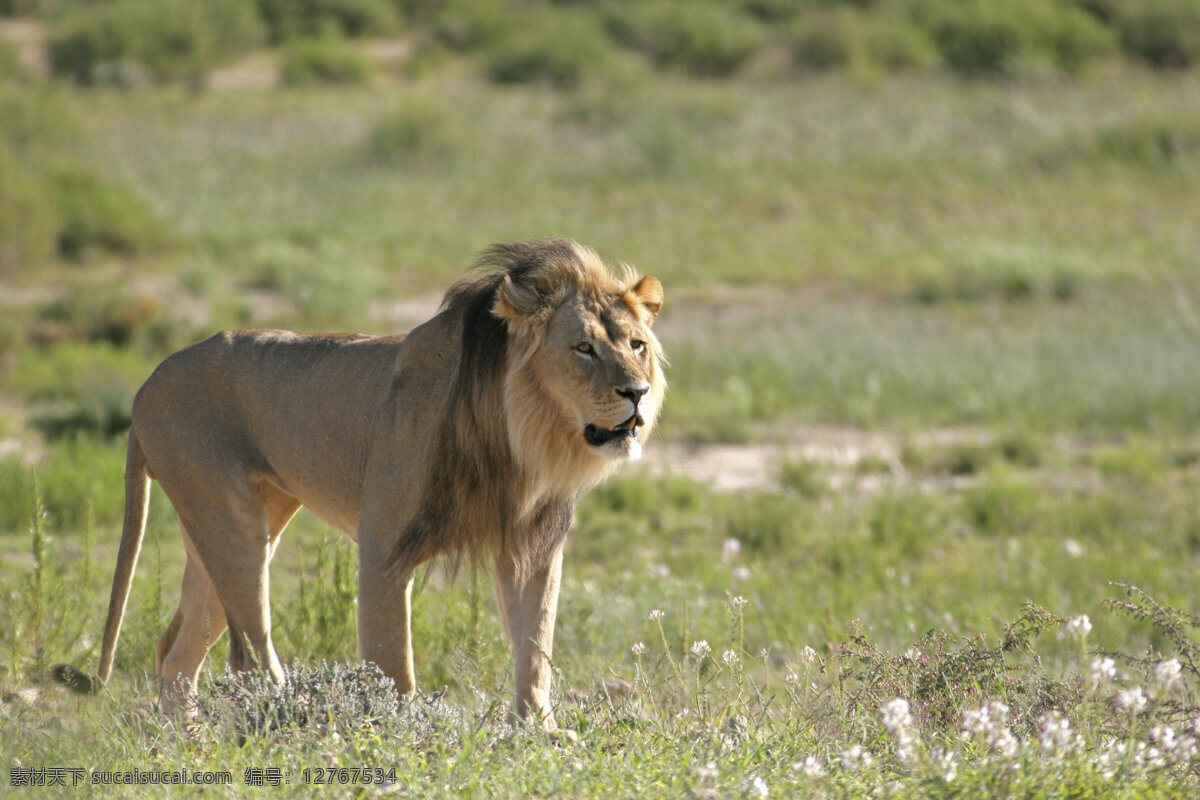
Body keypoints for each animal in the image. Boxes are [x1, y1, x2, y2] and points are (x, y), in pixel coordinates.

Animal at [92, 239, 667, 734]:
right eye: (583, 348)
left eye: (637, 345)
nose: (636, 393)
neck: (523, 437)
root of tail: (146, 385)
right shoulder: (384, 547)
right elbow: (393, 663)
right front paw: (403, 735)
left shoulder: (533, 546)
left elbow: (535, 646)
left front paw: (537, 731)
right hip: (232, 523)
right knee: (248, 653)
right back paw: (289, 719)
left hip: (235, 525)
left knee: (177, 651)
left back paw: (185, 739)